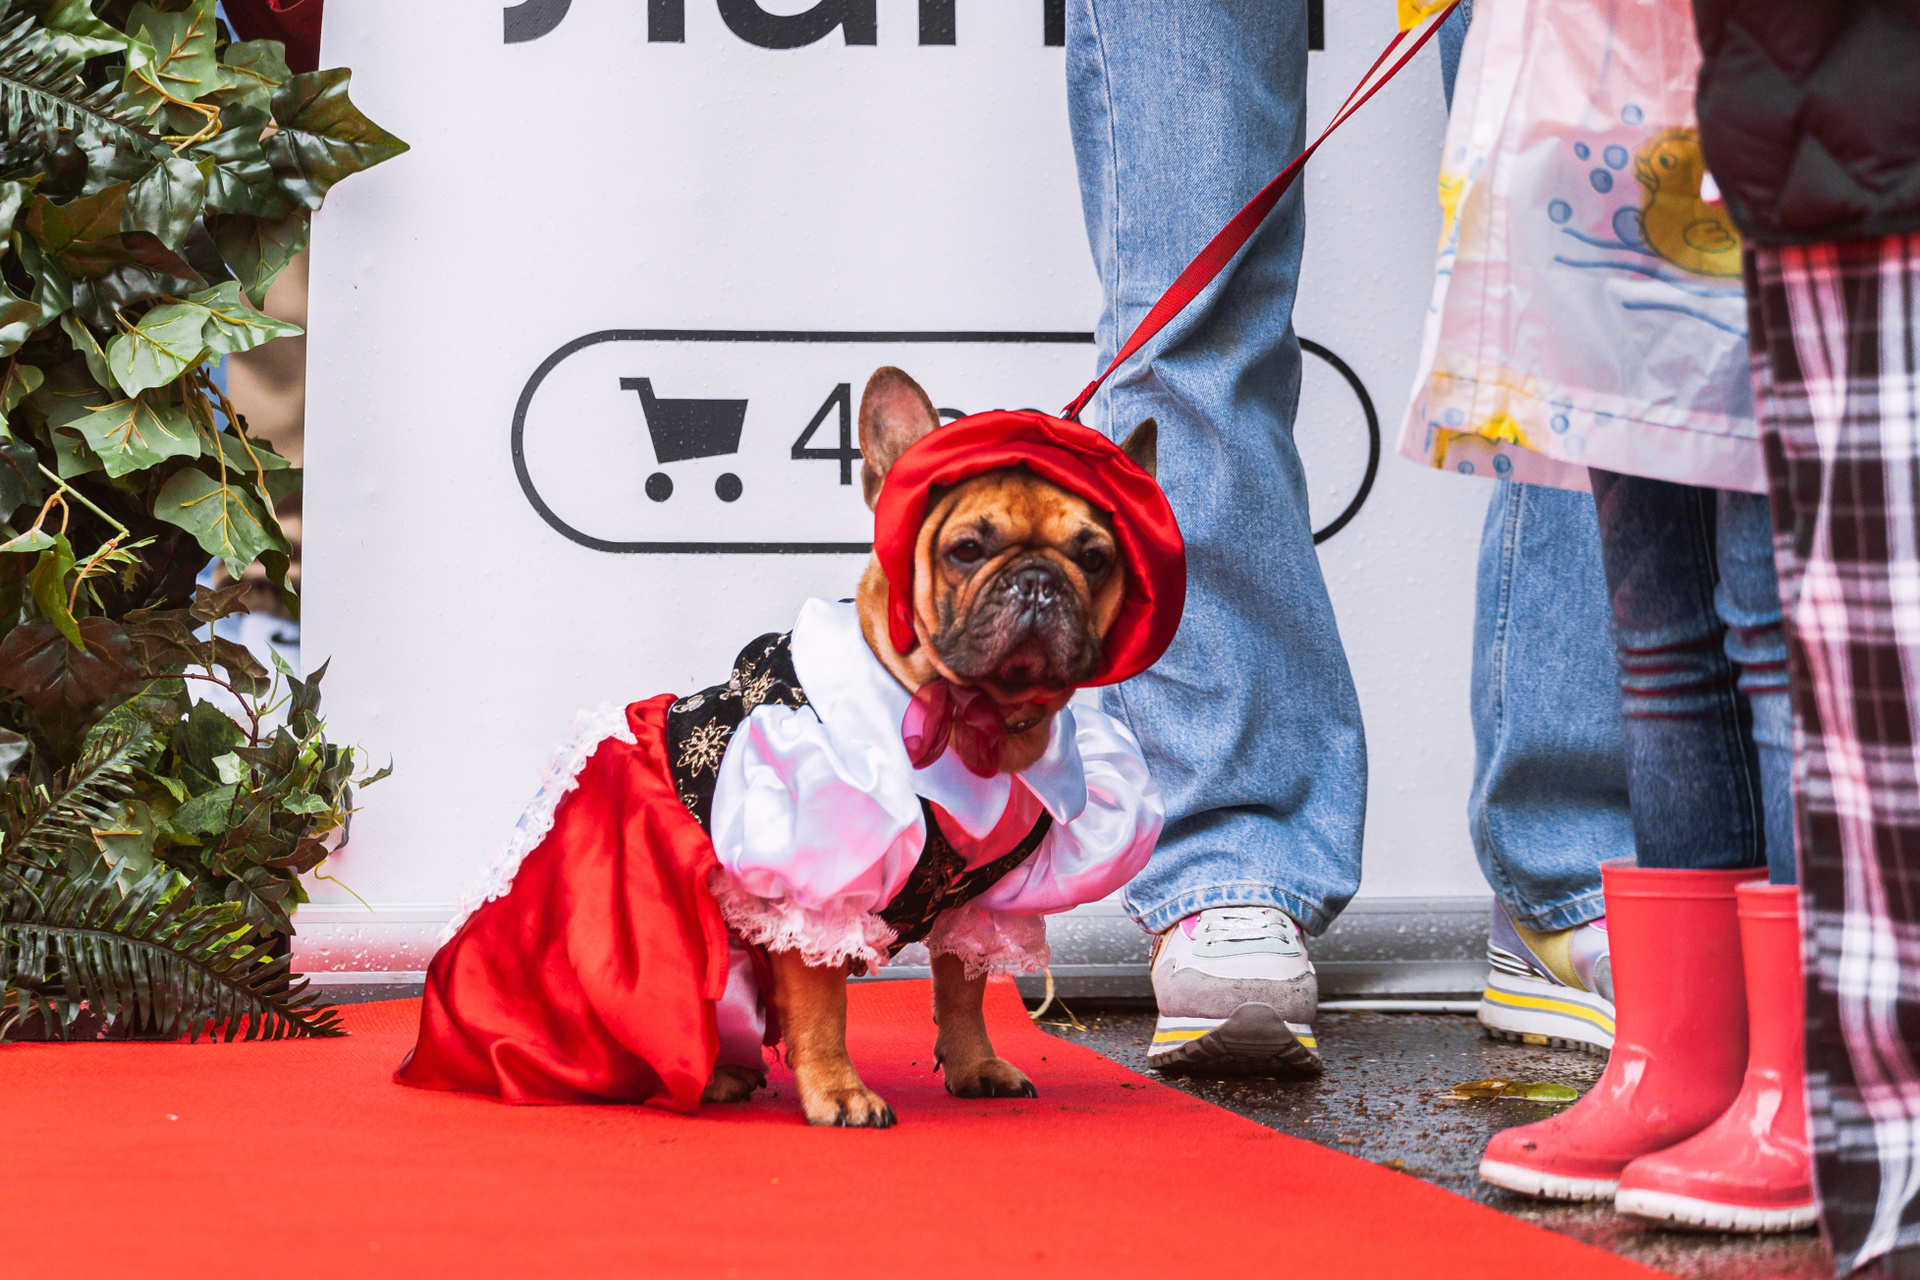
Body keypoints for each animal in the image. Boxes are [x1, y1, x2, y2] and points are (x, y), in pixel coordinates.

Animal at [706, 367, 1158, 1127]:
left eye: (1094, 558)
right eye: (966, 549)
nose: (1039, 579)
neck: (973, 722)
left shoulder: (976, 904)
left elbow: (964, 988)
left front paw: (976, 1065)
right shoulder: (819, 882)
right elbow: (823, 1005)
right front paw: (839, 1090)